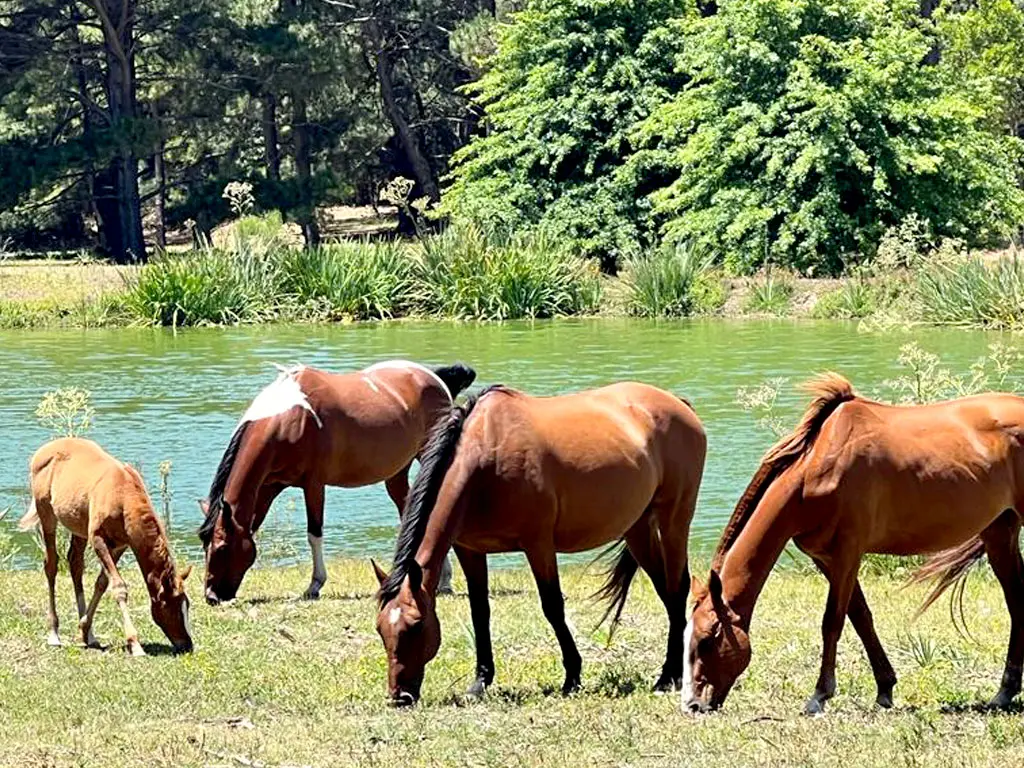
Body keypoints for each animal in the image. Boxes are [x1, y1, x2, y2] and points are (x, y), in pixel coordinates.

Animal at [18, 438, 192, 655]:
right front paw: (134, 644)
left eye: (188, 606)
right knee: (51, 564)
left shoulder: (120, 545)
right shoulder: (97, 539)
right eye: (174, 608)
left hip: (78, 528)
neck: (123, 495)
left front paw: (85, 629)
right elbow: (118, 587)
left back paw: (90, 636)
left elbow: (102, 582)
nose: (188, 645)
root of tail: (44, 450)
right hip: (46, 514)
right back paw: (54, 634)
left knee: (75, 564)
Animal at [198, 360, 475, 606]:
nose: (211, 596)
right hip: (397, 473)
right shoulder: (267, 487)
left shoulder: (313, 485)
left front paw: (314, 585)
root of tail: (434, 378)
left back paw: (444, 583)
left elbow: (314, 533)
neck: (288, 417)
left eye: (221, 547)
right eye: (205, 546)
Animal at [374, 382, 704, 708]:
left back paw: (668, 676)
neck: (485, 457)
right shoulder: (470, 550)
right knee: (665, 591)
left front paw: (572, 677)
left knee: (677, 589)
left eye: (416, 625)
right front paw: (480, 682)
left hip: (674, 520)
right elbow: (479, 611)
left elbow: (552, 606)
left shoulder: (538, 545)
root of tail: (678, 403)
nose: (399, 697)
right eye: (380, 629)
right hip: (637, 528)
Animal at [684, 376, 1024, 720]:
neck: (817, 467)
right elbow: (860, 616)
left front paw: (819, 695)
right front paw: (885, 688)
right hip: (1000, 532)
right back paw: (1004, 692)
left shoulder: (847, 553)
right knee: (1016, 604)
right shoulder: (826, 559)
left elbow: (832, 621)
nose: (693, 704)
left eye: (709, 638)